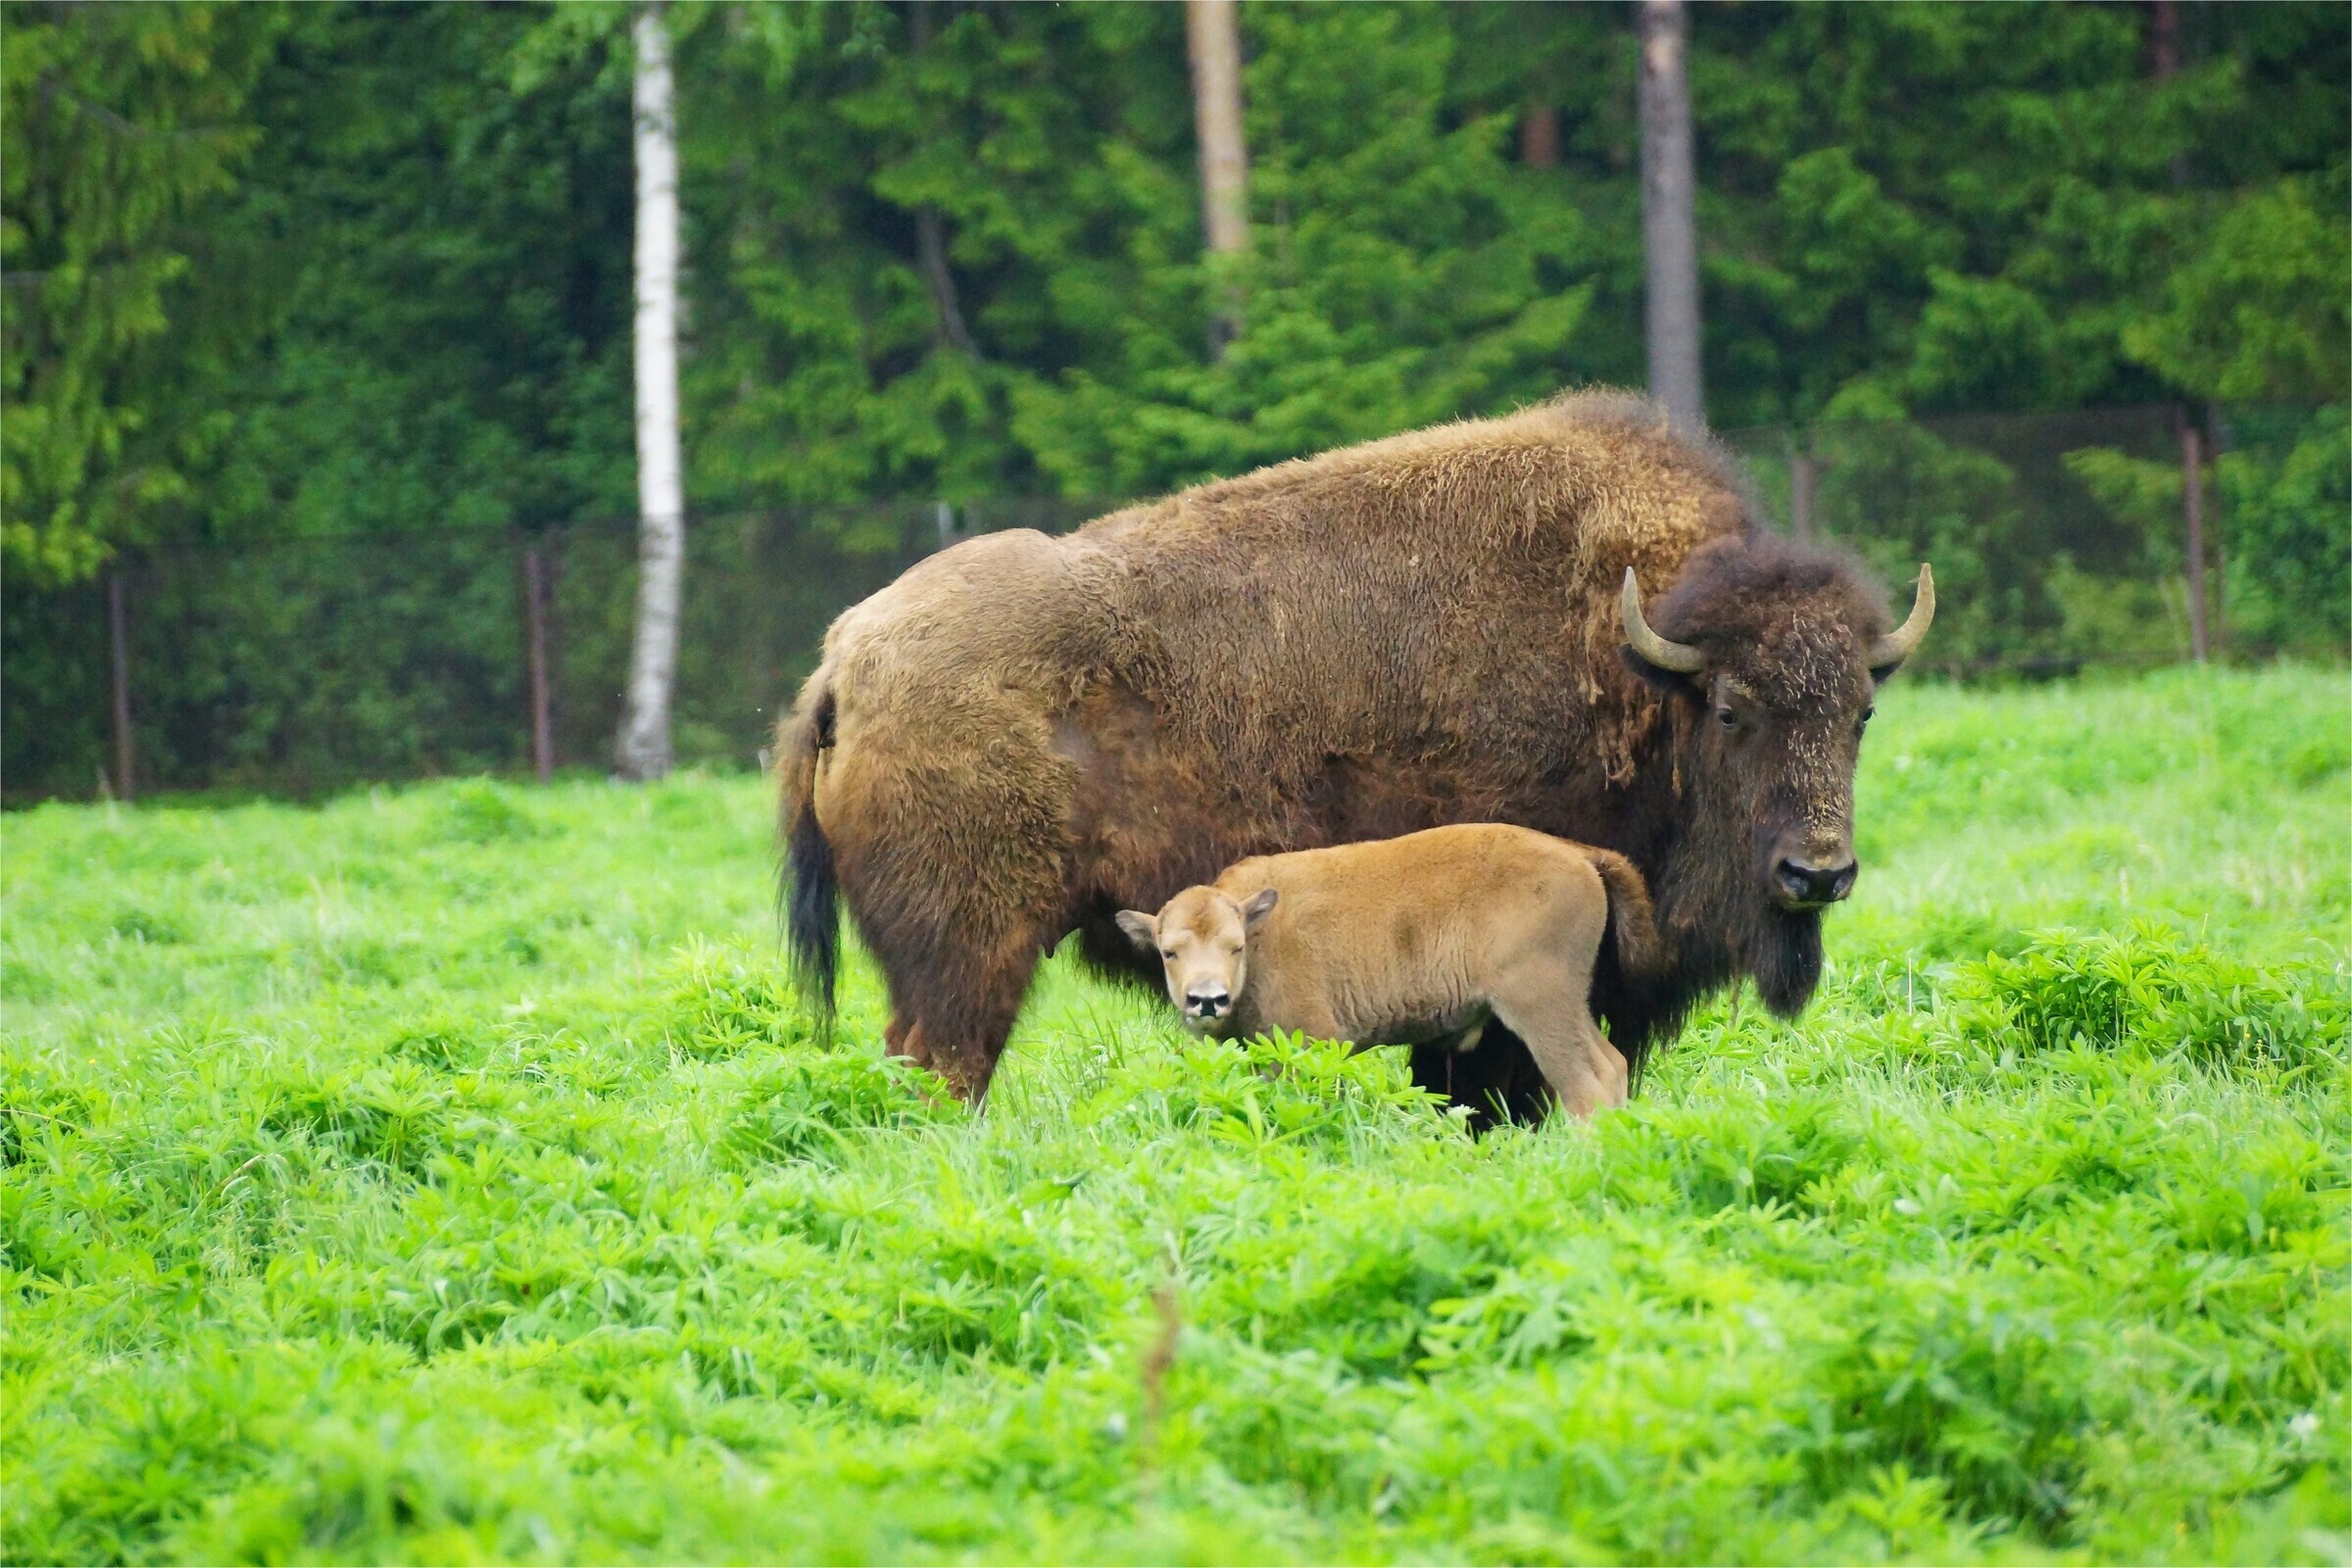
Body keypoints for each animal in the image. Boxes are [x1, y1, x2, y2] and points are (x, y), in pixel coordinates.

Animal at [1114, 827, 1655, 1123]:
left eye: (1236, 946)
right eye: (1169, 952)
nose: (1208, 998)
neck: (1262, 927)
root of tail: (1581, 854)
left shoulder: (1312, 1042)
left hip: (1540, 1007)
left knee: (1585, 1081)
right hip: (1568, 1007)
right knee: (1614, 1064)